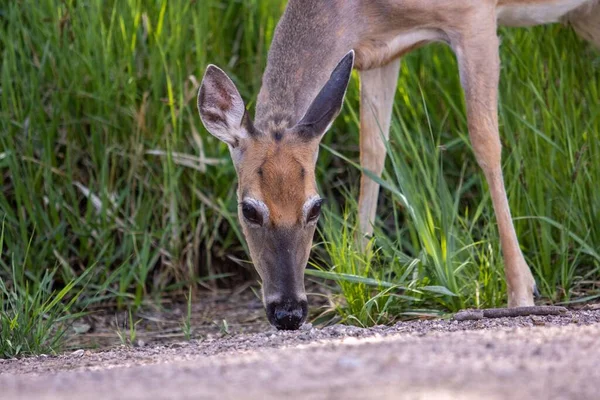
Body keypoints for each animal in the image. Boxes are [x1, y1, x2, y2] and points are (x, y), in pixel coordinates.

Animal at [198, 0, 600, 330]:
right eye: (248, 209)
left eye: (315, 208)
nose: (288, 313)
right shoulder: (380, 55)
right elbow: (373, 151)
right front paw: (355, 285)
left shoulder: (475, 17)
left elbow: (486, 143)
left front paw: (520, 292)